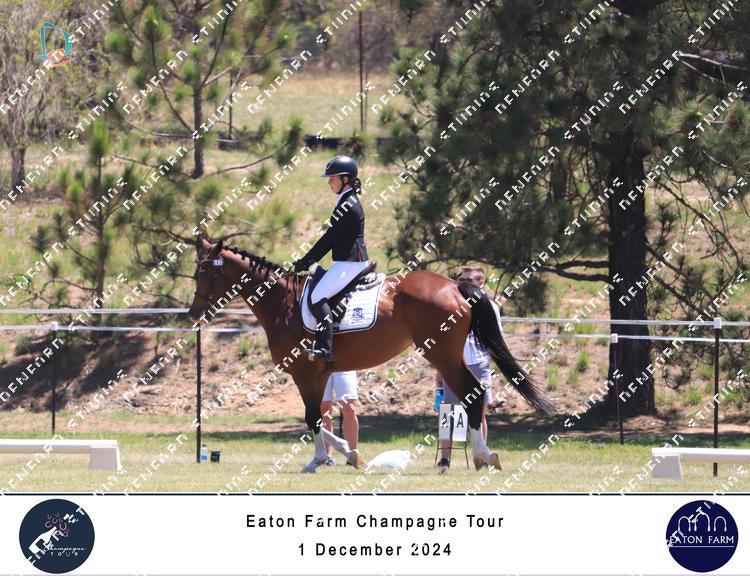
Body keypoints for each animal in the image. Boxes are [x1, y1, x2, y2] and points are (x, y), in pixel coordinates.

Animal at [188, 236, 554, 473]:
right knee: (472, 395)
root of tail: (454, 286)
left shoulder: (303, 374)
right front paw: (329, 458)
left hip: (442, 355)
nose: (193, 313)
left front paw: (344, 456)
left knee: (472, 393)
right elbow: (316, 417)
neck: (282, 303)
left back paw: (484, 456)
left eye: (206, 272)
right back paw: (482, 457)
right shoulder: (319, 375)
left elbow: (312, 417)